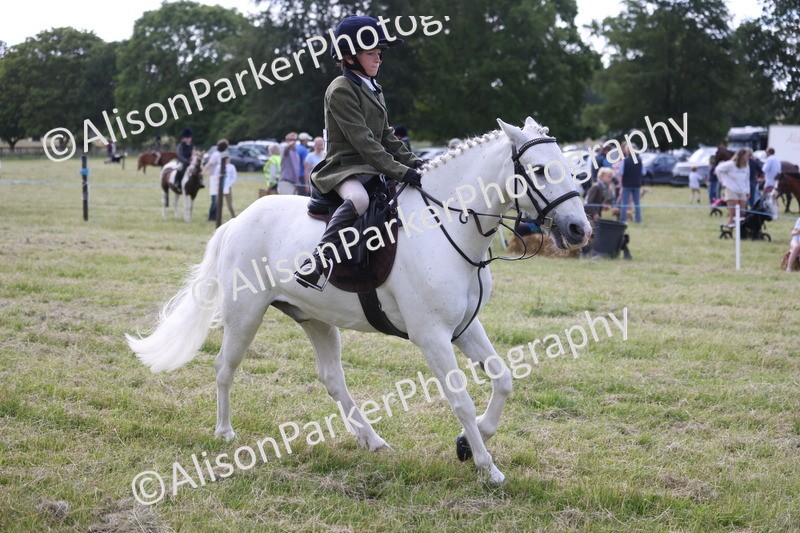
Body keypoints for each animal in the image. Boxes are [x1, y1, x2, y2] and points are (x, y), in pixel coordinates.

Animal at [126, 117, 591, 486]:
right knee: (226, 367)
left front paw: (468, 441)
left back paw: (373, 440)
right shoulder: (432, 335)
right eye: (539, 170)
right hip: (245, 313)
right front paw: (486, 466)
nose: (578, 230)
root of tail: (237, 221)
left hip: (315, 318)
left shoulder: (464, 326)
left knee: (333, 379)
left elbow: (503, 379)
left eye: (572, 168)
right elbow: (460, 398)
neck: (448, 225)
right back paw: (225, 434)